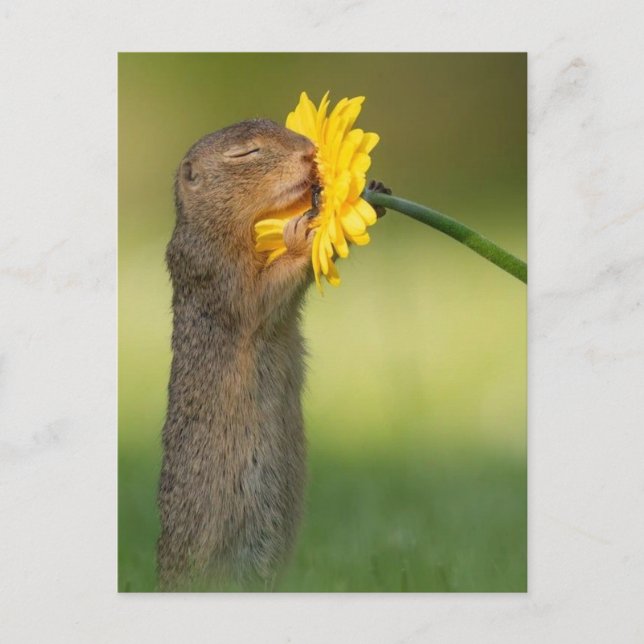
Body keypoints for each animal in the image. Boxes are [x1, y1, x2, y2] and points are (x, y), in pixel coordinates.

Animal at [157, 118, 389, 590]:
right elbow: (260, 296)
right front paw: (302, 234)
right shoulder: (217, 273)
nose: (309, 153)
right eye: (245, 153)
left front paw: (370, 189)